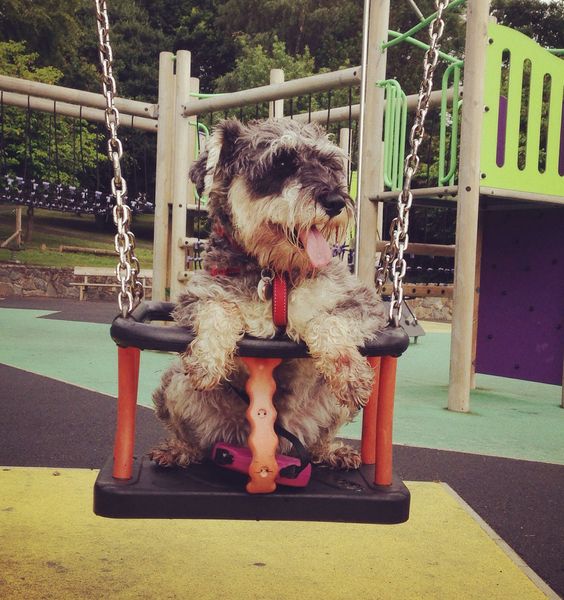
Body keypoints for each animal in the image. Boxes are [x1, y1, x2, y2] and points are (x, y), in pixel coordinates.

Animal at [150, 117, 388, 472]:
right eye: (282, 163)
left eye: (329, 164)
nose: (335, 202)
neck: (276, 274)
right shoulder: (193, 300)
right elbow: (218, 308)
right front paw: (207, 359)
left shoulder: (362, 302)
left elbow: (328, 322)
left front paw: (348, 371)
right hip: (174, 386)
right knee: (196, 441)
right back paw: (178, 450)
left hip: (332, 409)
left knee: (317, 441)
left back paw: (333, 451)